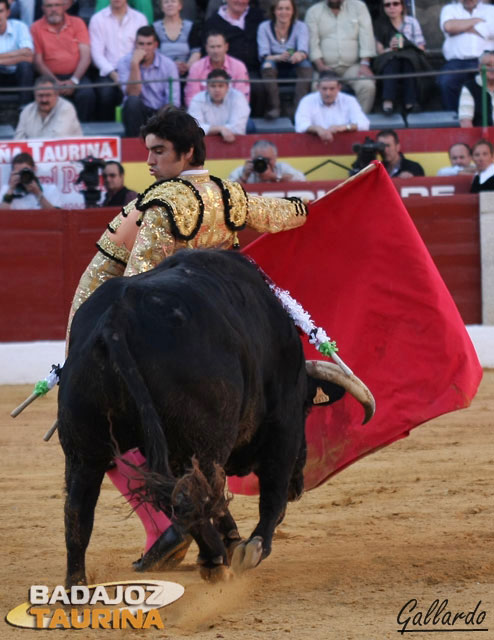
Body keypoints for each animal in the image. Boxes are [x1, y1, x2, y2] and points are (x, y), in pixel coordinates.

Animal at [58, 249, 374, 584]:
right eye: (306, 410)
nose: (298, 488)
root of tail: (117, 320)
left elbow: (218, 498)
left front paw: (234, 541)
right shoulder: (284, 422)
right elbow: (271, 493)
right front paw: (252, 546)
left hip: (83, 447)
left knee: (78, 511)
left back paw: (78, 585)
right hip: (203, 442)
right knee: (189, 498)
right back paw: (214, 559)